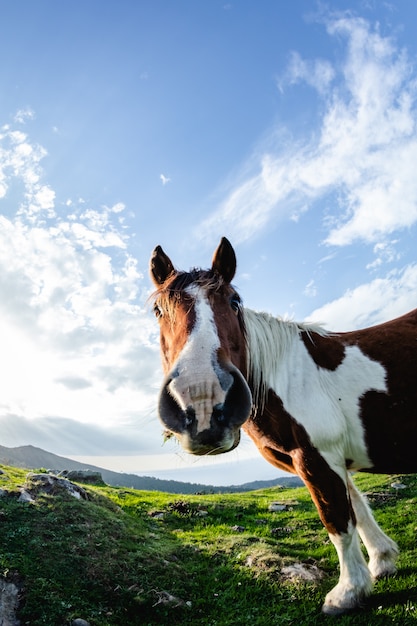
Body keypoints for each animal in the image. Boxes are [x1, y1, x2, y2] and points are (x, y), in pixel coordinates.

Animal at [148, 236, 414, 612]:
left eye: (234, 301)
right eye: (158, 311)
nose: (203, 403)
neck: (287, 378)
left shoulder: (317, 457)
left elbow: (337, 519)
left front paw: (347, 592)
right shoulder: (331, 459)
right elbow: (357, 508)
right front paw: (381, 562)